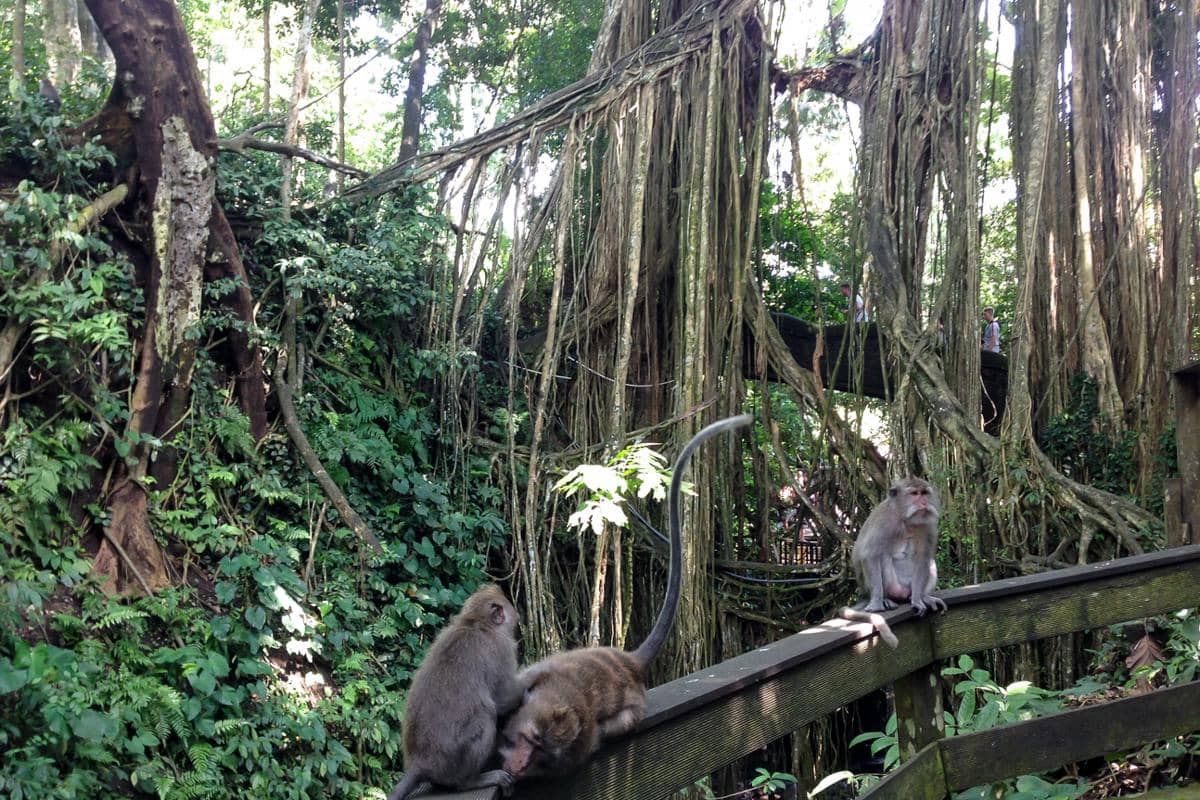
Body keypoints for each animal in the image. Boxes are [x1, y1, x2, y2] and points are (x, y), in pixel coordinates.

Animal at [386, 584, 524, 800]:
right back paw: (472, 781)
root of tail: (419, 763)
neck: (476, 623)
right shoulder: (502, 649)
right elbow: (504, 698)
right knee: (485, 716)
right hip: (453, 762)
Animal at [498, 414, 753, 779]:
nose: (519, 764)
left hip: (632, 702)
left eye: (540, 751)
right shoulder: (529, 679)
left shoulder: (580, 742)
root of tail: (628, 661)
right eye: (528, 740)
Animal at [839, 477, 947, 648]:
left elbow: (923, 558)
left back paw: (924, 596)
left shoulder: (929, 525)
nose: (924, 503)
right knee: (882, 556)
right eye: (914, 494)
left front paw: (918, 599)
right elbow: (870, 554)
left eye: (924, 493)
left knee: (930, 563)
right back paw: (886, 599)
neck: (906, 519)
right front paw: (877, 602)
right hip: (893, 587)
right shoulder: (884, 522)